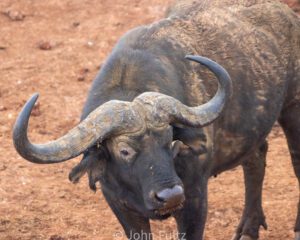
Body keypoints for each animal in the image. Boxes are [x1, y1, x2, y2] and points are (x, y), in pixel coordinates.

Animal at [12, 0, 298, 240]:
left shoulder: (194, 199)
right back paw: (248, 228)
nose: (169, 196)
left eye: (170, 141)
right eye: (124, 150)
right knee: (256, 159)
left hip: (292, 110)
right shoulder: (119, 204)